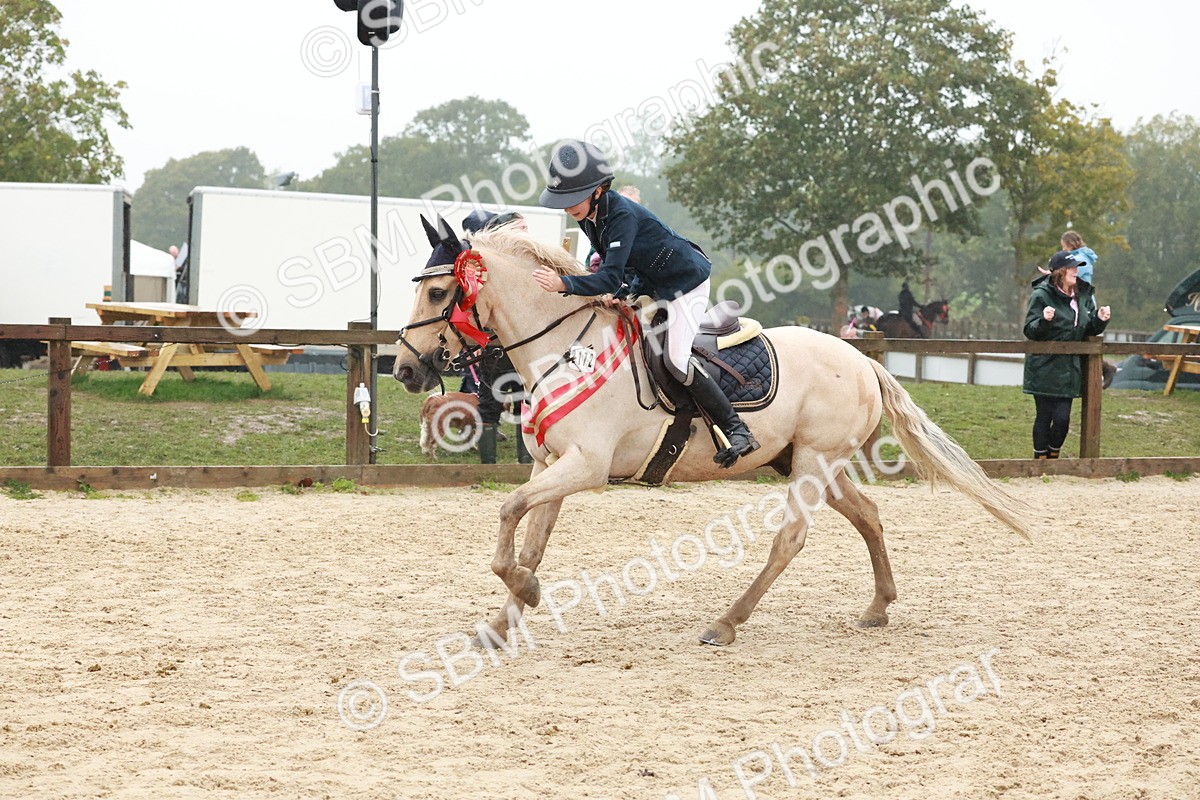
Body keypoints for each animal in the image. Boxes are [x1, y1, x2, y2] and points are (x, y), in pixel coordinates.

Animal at [394, 219, 1030, 646]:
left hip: (813, 463)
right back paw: (878, 608)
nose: (404, 370)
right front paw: (504, 620)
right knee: (869, 515)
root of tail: (861, 359)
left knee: (790, 539)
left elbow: (508, 514)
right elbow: (529, 540)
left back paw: (726, 621)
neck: (564, 350)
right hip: (811, 461)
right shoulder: (550, 465)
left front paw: (525, 593)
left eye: (438, 292)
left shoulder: (586, 468)